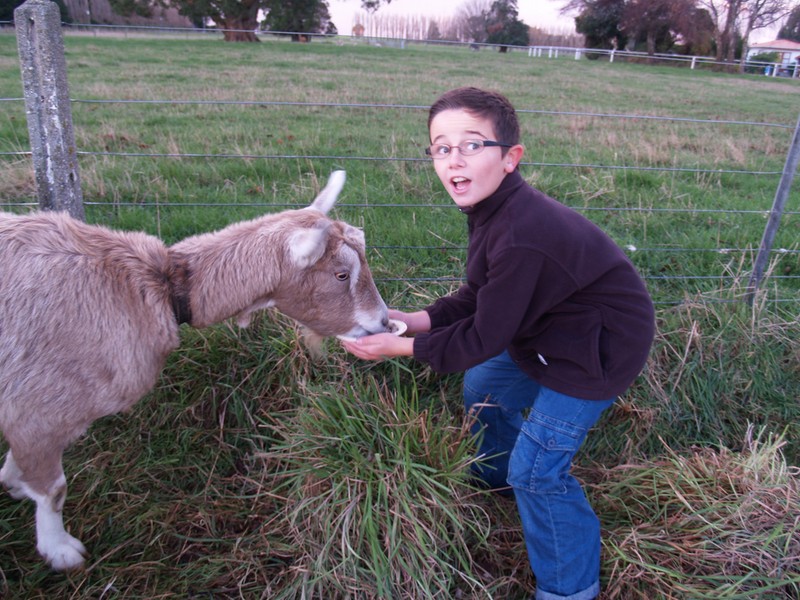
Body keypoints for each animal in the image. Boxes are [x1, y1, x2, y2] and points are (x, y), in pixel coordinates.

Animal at [0, 170, 388, 572]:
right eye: (341, 274)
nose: (384, 322)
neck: (162, 289)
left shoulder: (28, 408)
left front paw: (13, 482)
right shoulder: (39, 407)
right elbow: (54, 490)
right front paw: (60, 550)